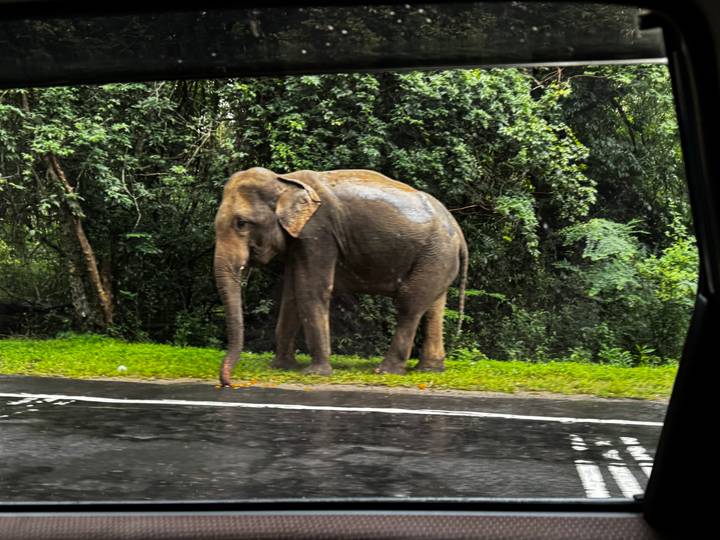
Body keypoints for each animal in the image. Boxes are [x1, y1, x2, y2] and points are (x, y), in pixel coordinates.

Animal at [214, 167, 468, 387]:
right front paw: (281, 367)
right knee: (434, 307)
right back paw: (430, 369)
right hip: (437, 258)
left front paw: (315, 373)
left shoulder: (318, 232)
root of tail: (458, 231)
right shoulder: (299, 241)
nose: (228, 383)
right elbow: (292, 294)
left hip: (436, 254)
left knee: (409, 303)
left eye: (241, 223)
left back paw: (386, 370)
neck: (284, 180)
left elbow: (311, 289)